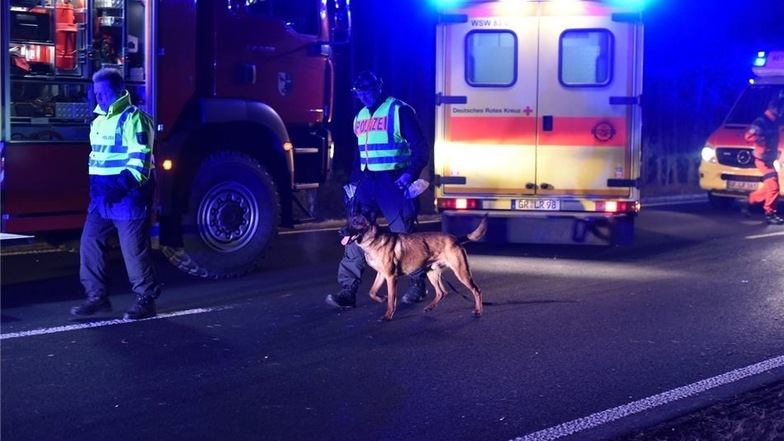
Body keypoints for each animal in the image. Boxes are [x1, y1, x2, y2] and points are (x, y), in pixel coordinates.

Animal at [340, 213, 486, 320]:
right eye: (347, 221)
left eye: (355, 223)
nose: (340, 231)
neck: (373, 240)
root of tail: (455, 239)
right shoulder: (381, 274)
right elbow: (372, 292)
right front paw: (381, 299)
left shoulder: (391, 277)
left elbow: (391, 299)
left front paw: (388, 315)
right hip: (431, 273)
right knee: (441, 292)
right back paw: (430, 307)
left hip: (461, 272)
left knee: (477, 290)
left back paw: (478, 311)